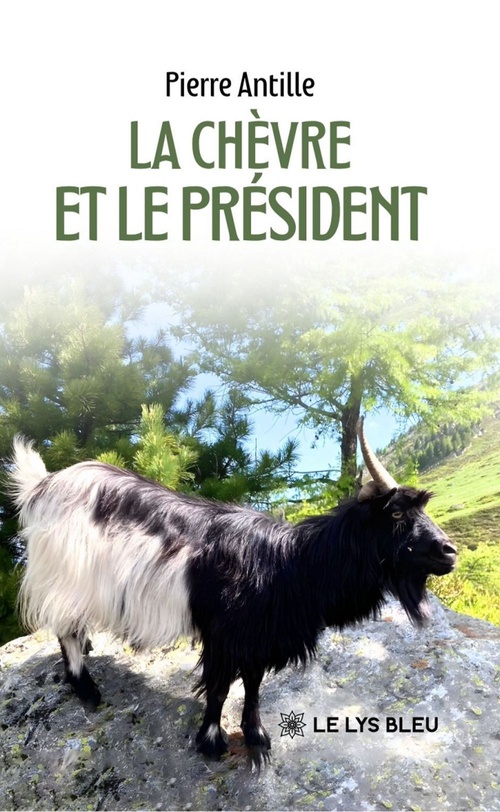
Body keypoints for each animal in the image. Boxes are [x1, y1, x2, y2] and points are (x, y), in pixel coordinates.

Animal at [10, 418, 457, 766]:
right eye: (396, 513)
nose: (449, 551)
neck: (290, 564)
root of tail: (42, 486)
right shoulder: (225, 635)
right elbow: (220, 687)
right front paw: (211, 742)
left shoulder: (257, 637)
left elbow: (254, 686)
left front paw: (256, 735)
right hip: (66, 575)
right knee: (65, 628)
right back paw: (87, 689)